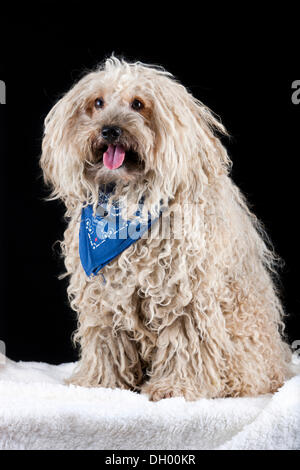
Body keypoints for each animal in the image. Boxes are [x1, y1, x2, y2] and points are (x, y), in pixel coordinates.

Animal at [39, 55, 290, 400]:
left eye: (138, 103)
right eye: (97, 103)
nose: (110, 130)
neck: (128, 203)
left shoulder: (185, 292)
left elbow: (184, 340)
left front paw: (176, 387)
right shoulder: (104, 295)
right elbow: (107, 340)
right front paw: (101, 383)